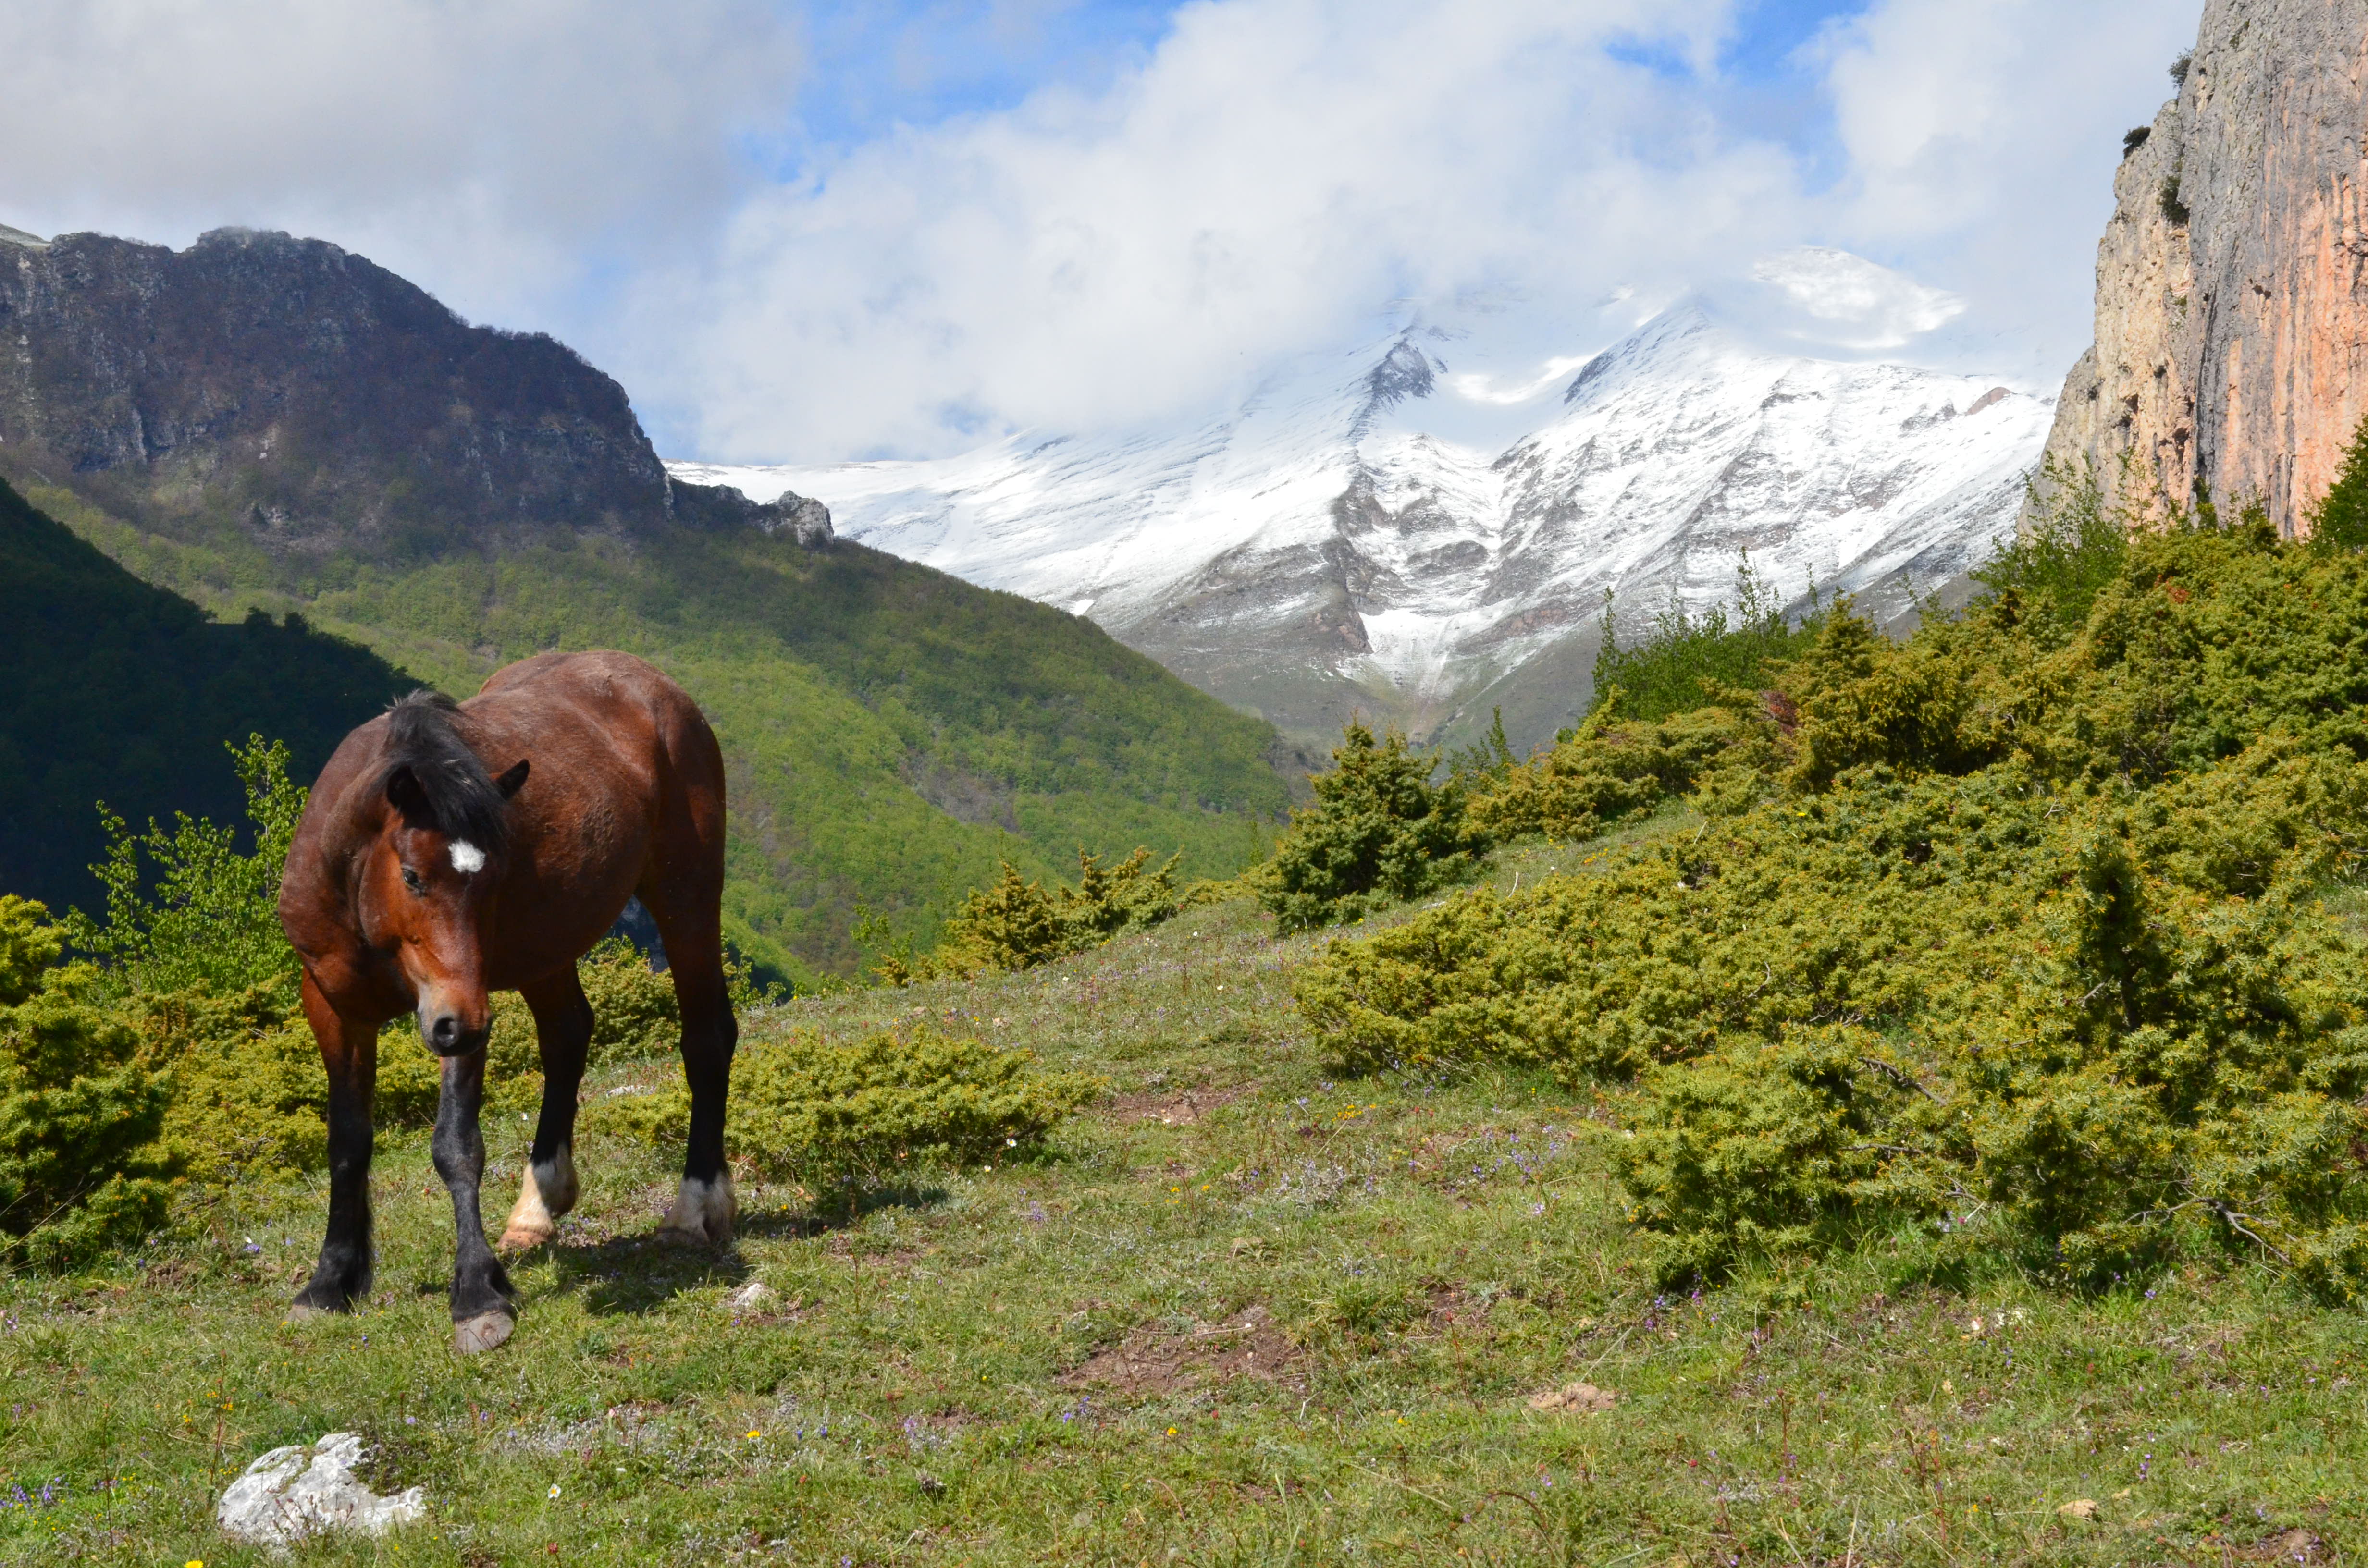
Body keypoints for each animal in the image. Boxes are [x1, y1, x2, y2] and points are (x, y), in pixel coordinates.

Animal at [279, 649, 739, 1355]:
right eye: (413, 876)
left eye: (494, 877)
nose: (459, 1022)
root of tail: (654, 684)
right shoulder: (335, 1008)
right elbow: (349, 1142)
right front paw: (330, 1282)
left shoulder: (460, 1015)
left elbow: (456, 1145)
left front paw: (475, 1295)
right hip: (545, 953)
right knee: (568, 1036)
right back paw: (539, 1206)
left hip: (685, 895)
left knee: (706, 1039)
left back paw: (694, 1209)